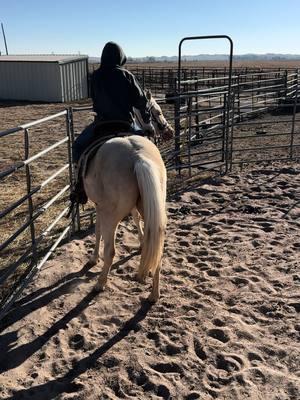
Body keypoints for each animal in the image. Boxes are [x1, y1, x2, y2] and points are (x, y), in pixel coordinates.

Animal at [84, 91, 173, 304]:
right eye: (157, 111)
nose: (170, 132)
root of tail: (138, 156)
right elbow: (136, 219)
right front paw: (141, 243)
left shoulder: (99, 206)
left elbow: (97, 230)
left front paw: (93, 258)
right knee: (158, 247)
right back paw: (154, 294)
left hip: (111, 215)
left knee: (111, 250)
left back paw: (100, 284)